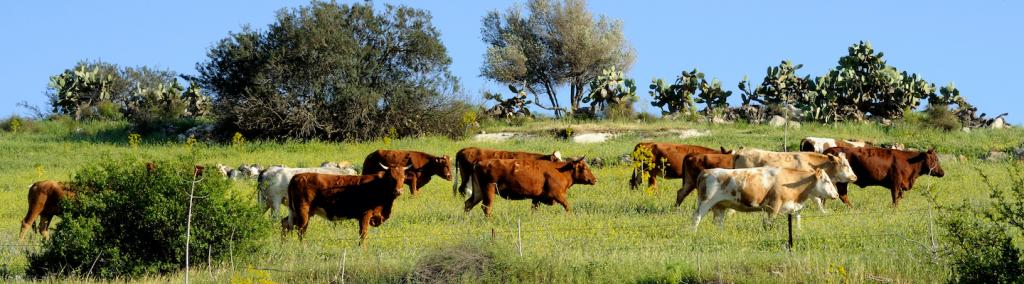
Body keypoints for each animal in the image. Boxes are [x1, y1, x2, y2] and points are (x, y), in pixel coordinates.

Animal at [466, 156, 598, 216]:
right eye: (584, 168)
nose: (595, 179)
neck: (561, 171)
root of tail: (479, 162)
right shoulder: (558, 195)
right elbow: (568, 206)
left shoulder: (537, 198)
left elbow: (534, 210)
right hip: (489, 190)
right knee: (486, 207)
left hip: (479, 192)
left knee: (468, 203)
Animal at [688, 166, 839, 229]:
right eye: (826, 181)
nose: (837, 195)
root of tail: (706, 171)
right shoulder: (773, 206)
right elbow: (769, 223)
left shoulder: (793, 206)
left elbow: (798, 221)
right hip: (705, 202)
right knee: (696, 218)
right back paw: (693, 232)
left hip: (720, 206)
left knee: (718, 222)